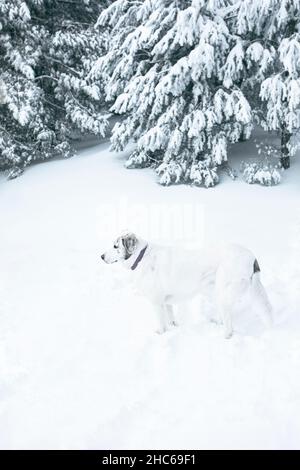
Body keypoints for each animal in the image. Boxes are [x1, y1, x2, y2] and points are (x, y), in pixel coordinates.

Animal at [101, 232, 272, 338]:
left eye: (115, 246)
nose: (101, 256)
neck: (141, 257)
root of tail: (251, 256)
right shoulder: (166, 302)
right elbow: (171, 318)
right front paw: (174, 327)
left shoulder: (156, 302)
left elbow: (161, 324)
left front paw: (160, 334)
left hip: (223, 291)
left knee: (229, 326)